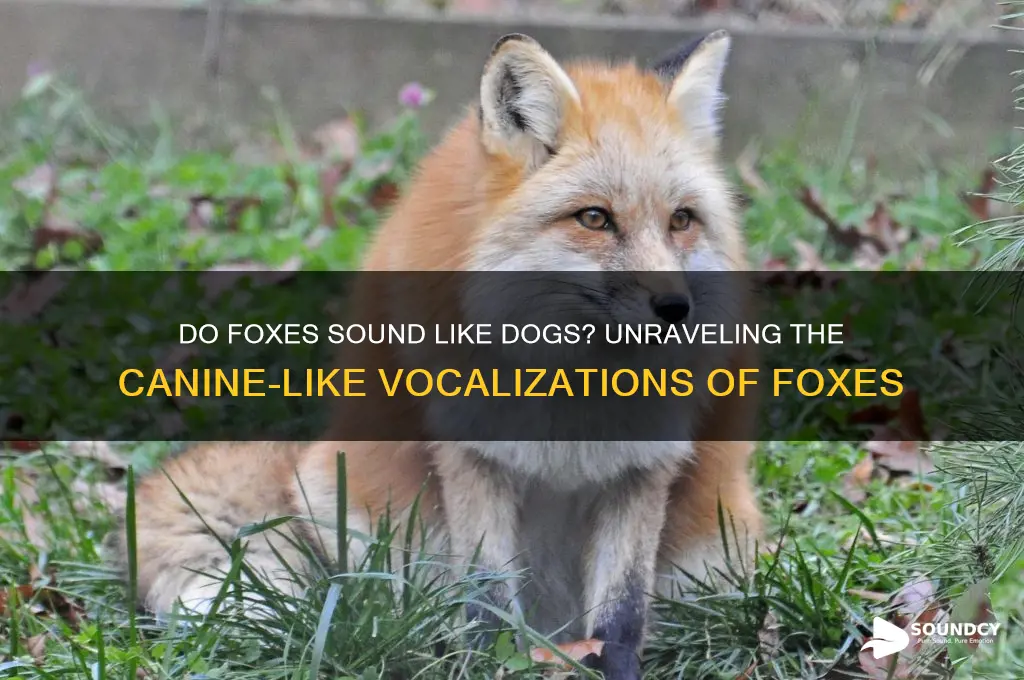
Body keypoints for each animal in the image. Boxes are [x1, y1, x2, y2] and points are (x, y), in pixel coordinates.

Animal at [109, 31, 763, 679]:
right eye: (595, 218)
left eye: (681, 220)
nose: (676, 308)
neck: (573, 395)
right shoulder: (471, 454)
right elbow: (486, 596)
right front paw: (487, 665)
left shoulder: (645, 467)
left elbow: (622, 615)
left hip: (721, 553)